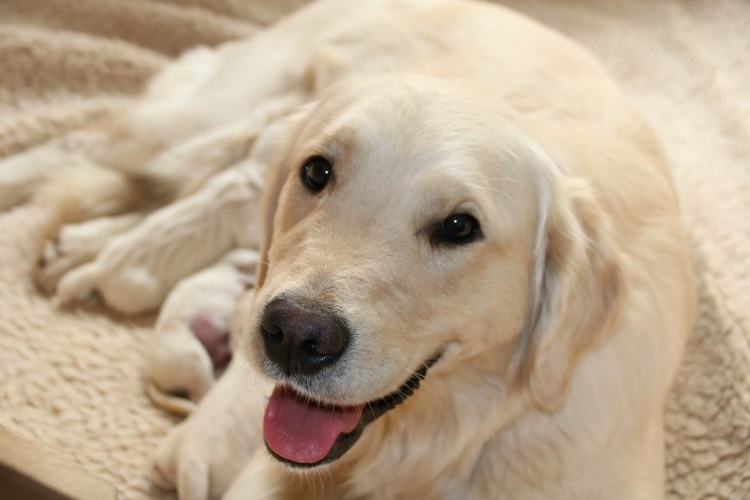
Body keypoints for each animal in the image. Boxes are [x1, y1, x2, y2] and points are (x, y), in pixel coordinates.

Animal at [0, 0, 696, 498]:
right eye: (316, 171)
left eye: (460, 227)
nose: (293, 334)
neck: (454, 431)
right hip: (189, 124)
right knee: (81, 147)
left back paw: (83, 250)